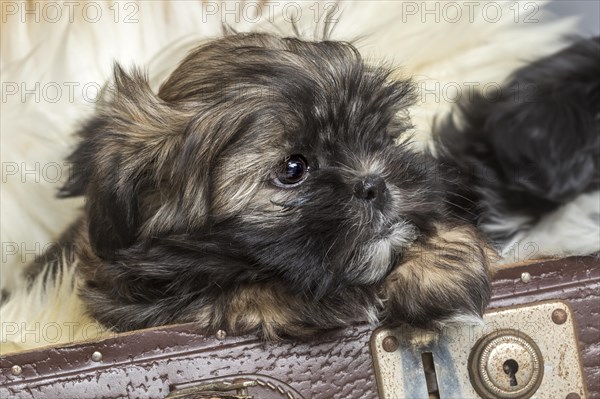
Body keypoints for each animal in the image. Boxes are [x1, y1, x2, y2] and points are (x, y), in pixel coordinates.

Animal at [21, 32, 494, 340]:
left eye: (378, 138)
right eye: (293, 168)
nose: (374, 183)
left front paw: (440, 264)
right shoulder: (124, 295)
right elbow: (223, 290)